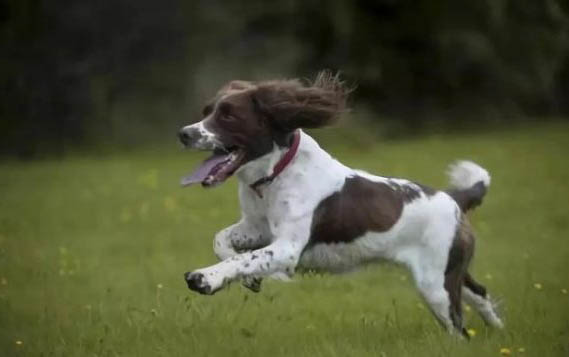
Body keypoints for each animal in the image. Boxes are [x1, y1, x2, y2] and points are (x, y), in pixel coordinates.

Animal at [178, 71, 502, 336]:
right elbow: (221, 240)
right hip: (449, 271)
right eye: (206, 111)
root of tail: (454, 197)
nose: (184, 133)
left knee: (459, 329)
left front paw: (206, 278)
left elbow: (243, 258)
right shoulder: (258, 228)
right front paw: (251, 280)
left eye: (228, 115)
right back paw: (498, 330)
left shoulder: (288, 247)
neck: (275, 173)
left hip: (435, 285)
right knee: (481, 293)